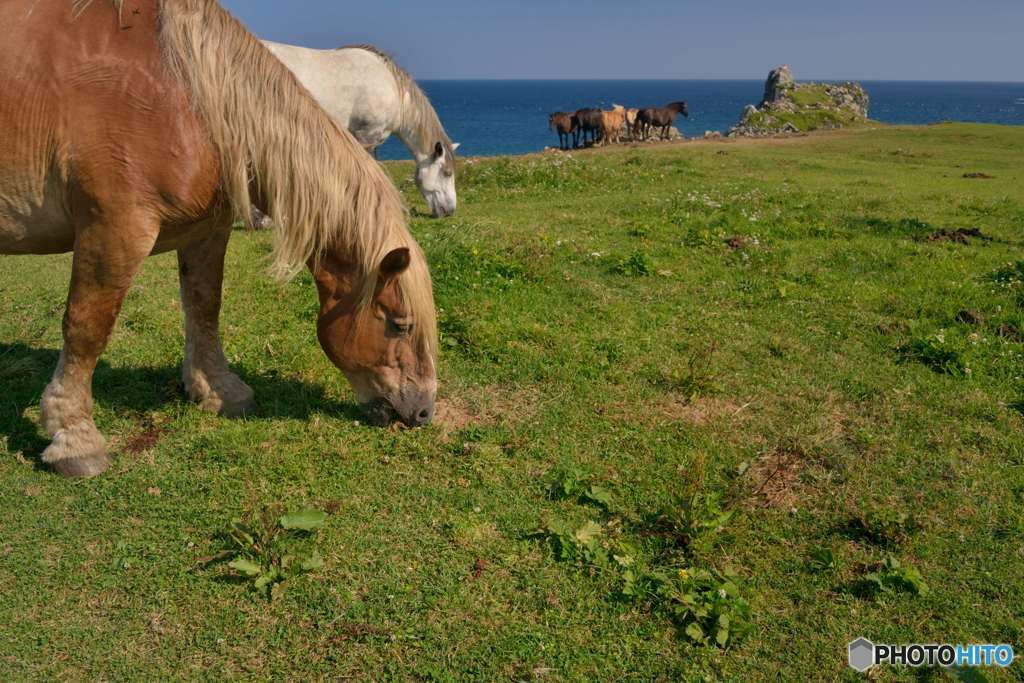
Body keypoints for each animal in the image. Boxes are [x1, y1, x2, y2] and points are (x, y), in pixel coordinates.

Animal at [0, 0, 436, 479]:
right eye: (400, 325)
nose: (424, 412)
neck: (183, 95)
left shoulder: (207, 232)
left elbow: (205, 306)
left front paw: (217, 390)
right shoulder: (114, 231)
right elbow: (87, 328)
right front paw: (74, 436)